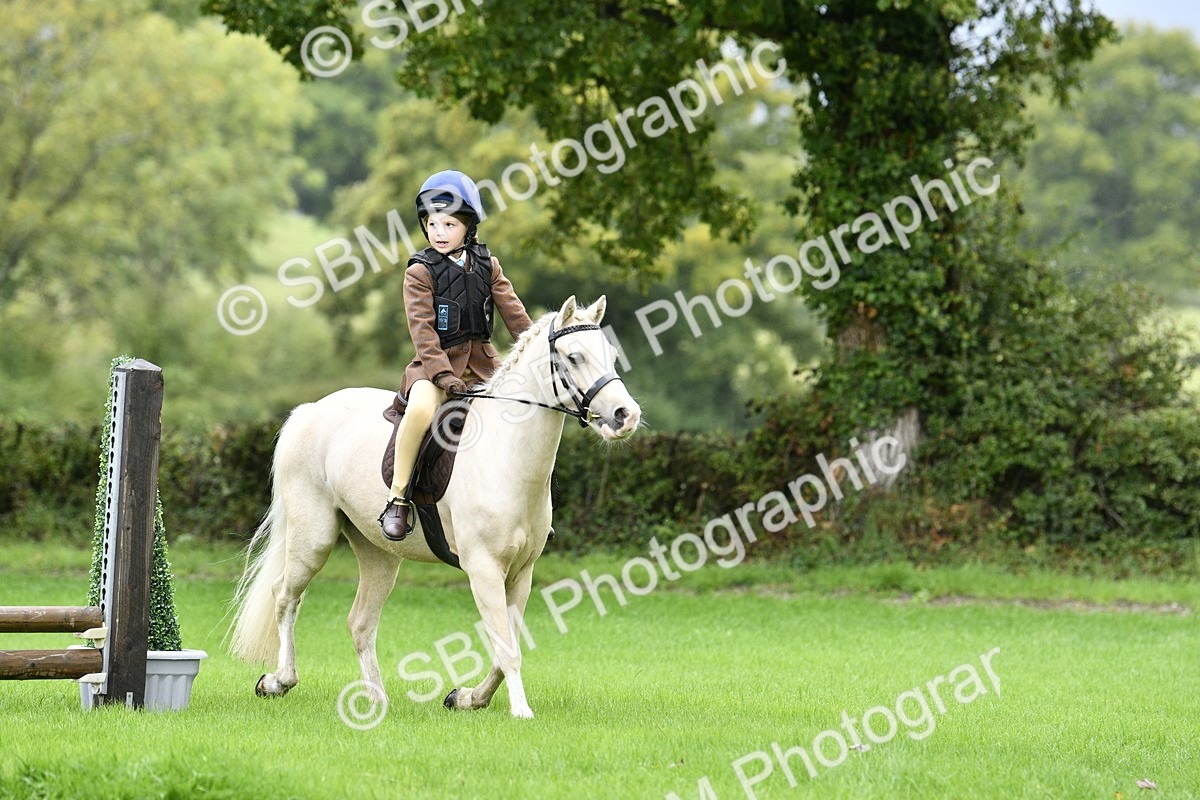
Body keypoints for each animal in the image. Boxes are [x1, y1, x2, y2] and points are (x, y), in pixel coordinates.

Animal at [228, 296, 640, 718]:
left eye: (611, 355)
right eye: (574, 357)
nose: (626, 417)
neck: (506, 453)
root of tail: (309, 410)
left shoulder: (520, 573)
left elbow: (505, 646)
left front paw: (467, 697)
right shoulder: (484, 569)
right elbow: (507, 648)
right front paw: (520, 711)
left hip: (379, 554)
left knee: (360, 622)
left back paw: (376, 700)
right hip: (314, 538)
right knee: (285, 597)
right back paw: (278, 681)